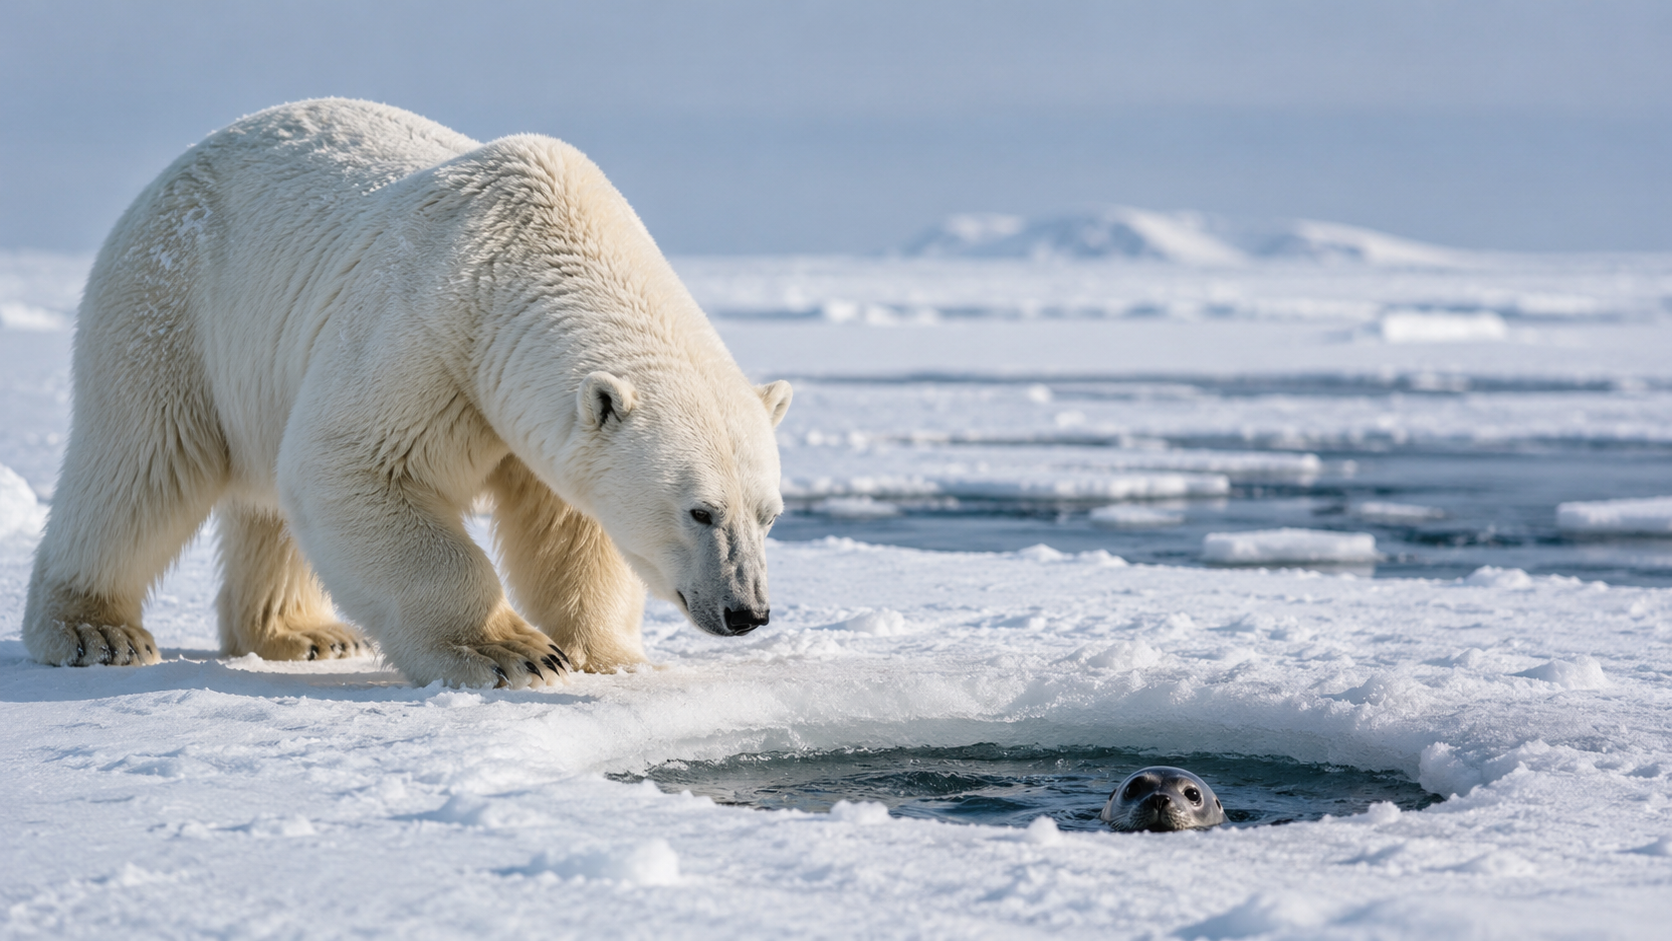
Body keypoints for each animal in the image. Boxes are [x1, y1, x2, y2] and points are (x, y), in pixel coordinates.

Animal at [22, 99, 792, 688]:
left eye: (770, 514)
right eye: (700, 510)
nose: (747, 612)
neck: (526, 252)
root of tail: (176, 164)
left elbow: (573, 528)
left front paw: (612, 656)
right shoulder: (428, 339)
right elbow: (353, 464)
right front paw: (510, 653)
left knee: (265, 501)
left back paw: (307, 633)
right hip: (171, 309)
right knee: (142, 465)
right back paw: (94, 631)